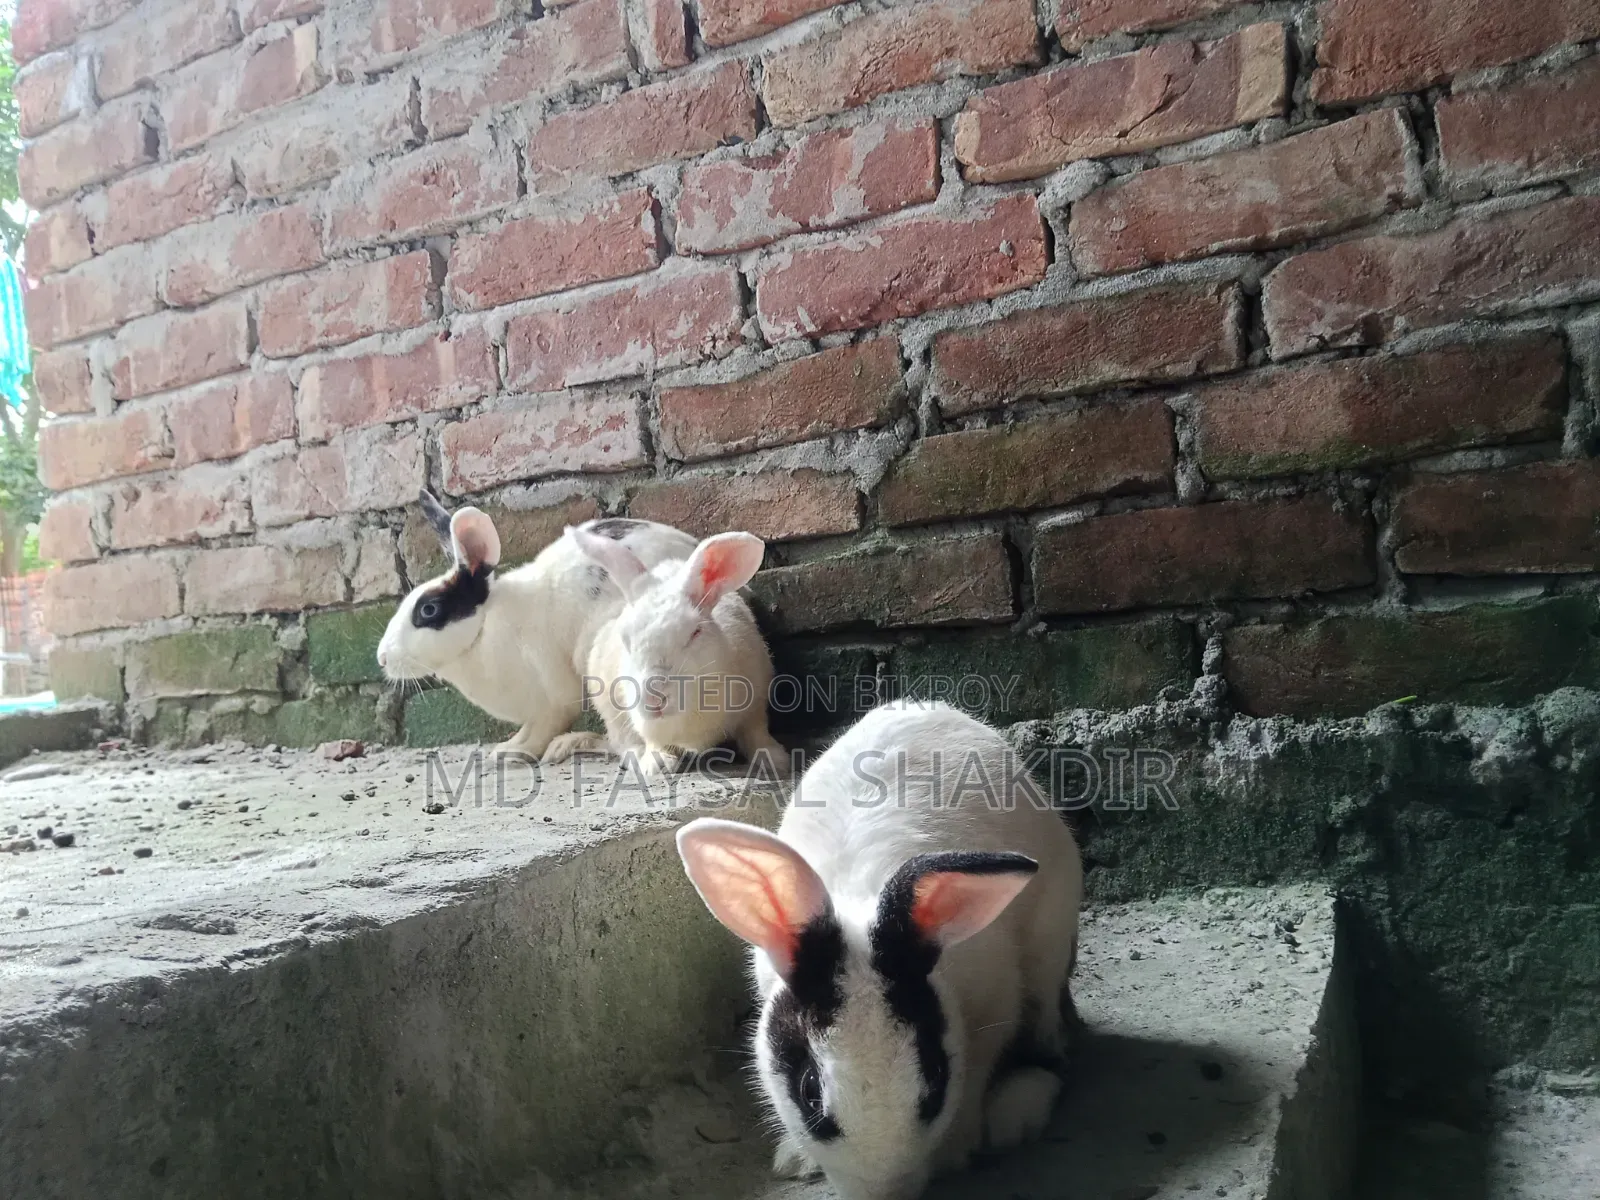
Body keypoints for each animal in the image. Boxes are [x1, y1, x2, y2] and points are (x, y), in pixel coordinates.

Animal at [376, 490, 699, 758]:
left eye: (428, 609)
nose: (382, 658)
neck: (482, 631)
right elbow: (528, 729)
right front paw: (506, 747)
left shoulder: (554, 698)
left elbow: (543, 730)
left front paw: (513, 755)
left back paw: (571, 745)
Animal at [544, 526, 788, 778]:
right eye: (626, 639)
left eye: (695, 632)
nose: (653, 697)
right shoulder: (645, 723)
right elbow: (656, 742)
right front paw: (656, 764)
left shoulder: (756, 704)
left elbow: (757, 734)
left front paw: (775, 761)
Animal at [675, 702, 1082, 1200]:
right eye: (810, 1091)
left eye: (934, 1079)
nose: (883, 1192)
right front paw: (796, 1159)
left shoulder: (996, 1000)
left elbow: (980, 1069)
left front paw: (957, 1146)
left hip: (1049, 943)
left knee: (1049, 1036)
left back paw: (1016, 1112)